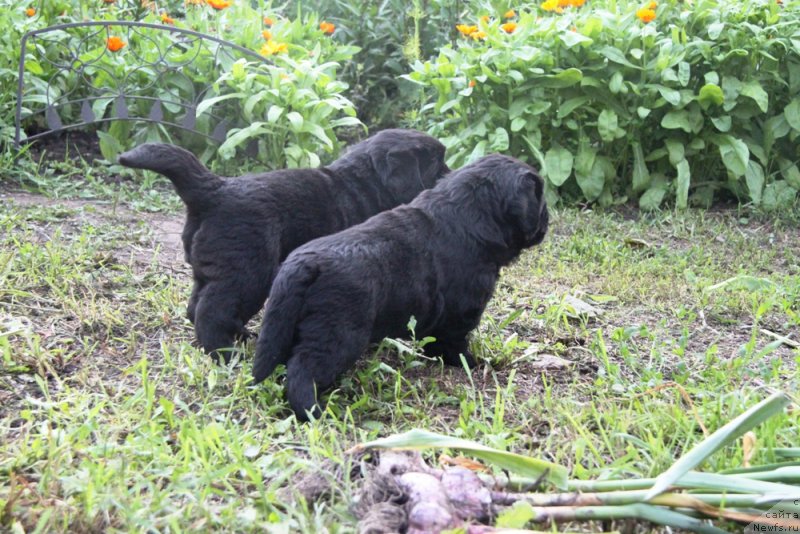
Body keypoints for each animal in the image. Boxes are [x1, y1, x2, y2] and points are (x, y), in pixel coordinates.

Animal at [117, 131, 450, 362]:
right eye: (436, 163)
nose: (450, 174)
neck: (366, 183)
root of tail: (214, 191)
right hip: (249, 273)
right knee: (212, 311)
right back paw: (225, 353)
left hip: (210, 269)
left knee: (197, 305)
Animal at [253, 153, 548, 420]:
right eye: (539, 197)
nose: (548, 219)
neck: (468, 215)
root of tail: (303, 266)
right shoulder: (462, 313)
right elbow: (455, 344)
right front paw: (472, 364)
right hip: (337, 336)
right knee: (303, 371)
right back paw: (316, 411)